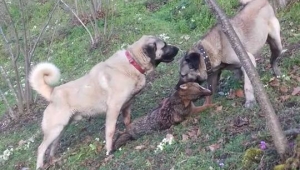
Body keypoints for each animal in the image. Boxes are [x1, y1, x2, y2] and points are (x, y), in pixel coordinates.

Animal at [29, 34, 178, 169]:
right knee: (41, 148)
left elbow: (128, 122)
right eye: (164, 46)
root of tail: (52, 93)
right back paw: (40, 165)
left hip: (61, 129)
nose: (178, 48)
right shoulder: (113, 109)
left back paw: (54, 160)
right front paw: (109, 150)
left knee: (52, 147)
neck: (132, 62)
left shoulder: (126, 107)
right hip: (54, 130)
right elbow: (110, 131)